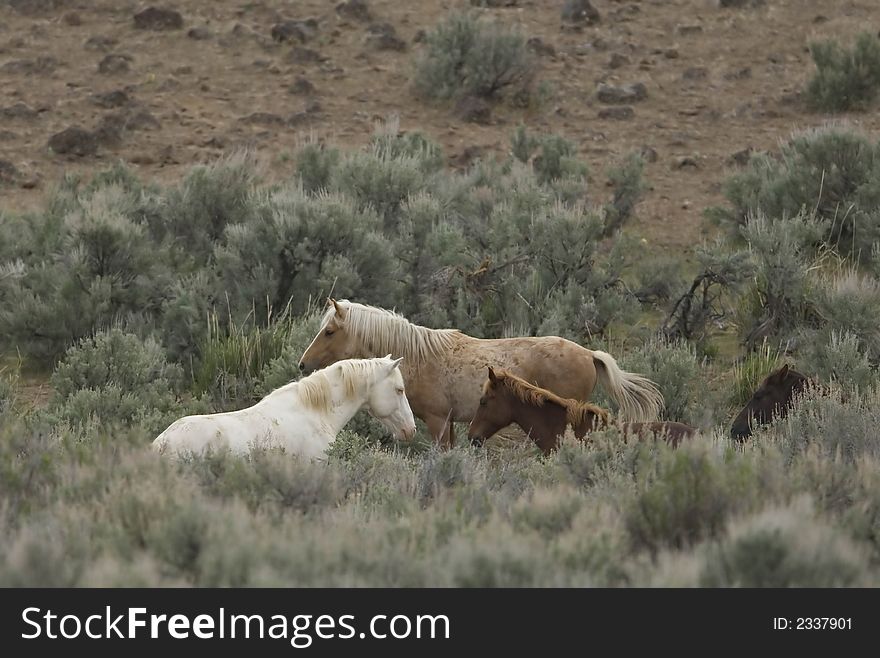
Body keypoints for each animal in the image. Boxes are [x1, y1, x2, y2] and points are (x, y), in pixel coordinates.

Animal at [300, 302, 664, 446]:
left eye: (329, 331)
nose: (303, 364)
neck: (420, 356)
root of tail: (590, 354)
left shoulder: (437, 421)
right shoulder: (449, 424)